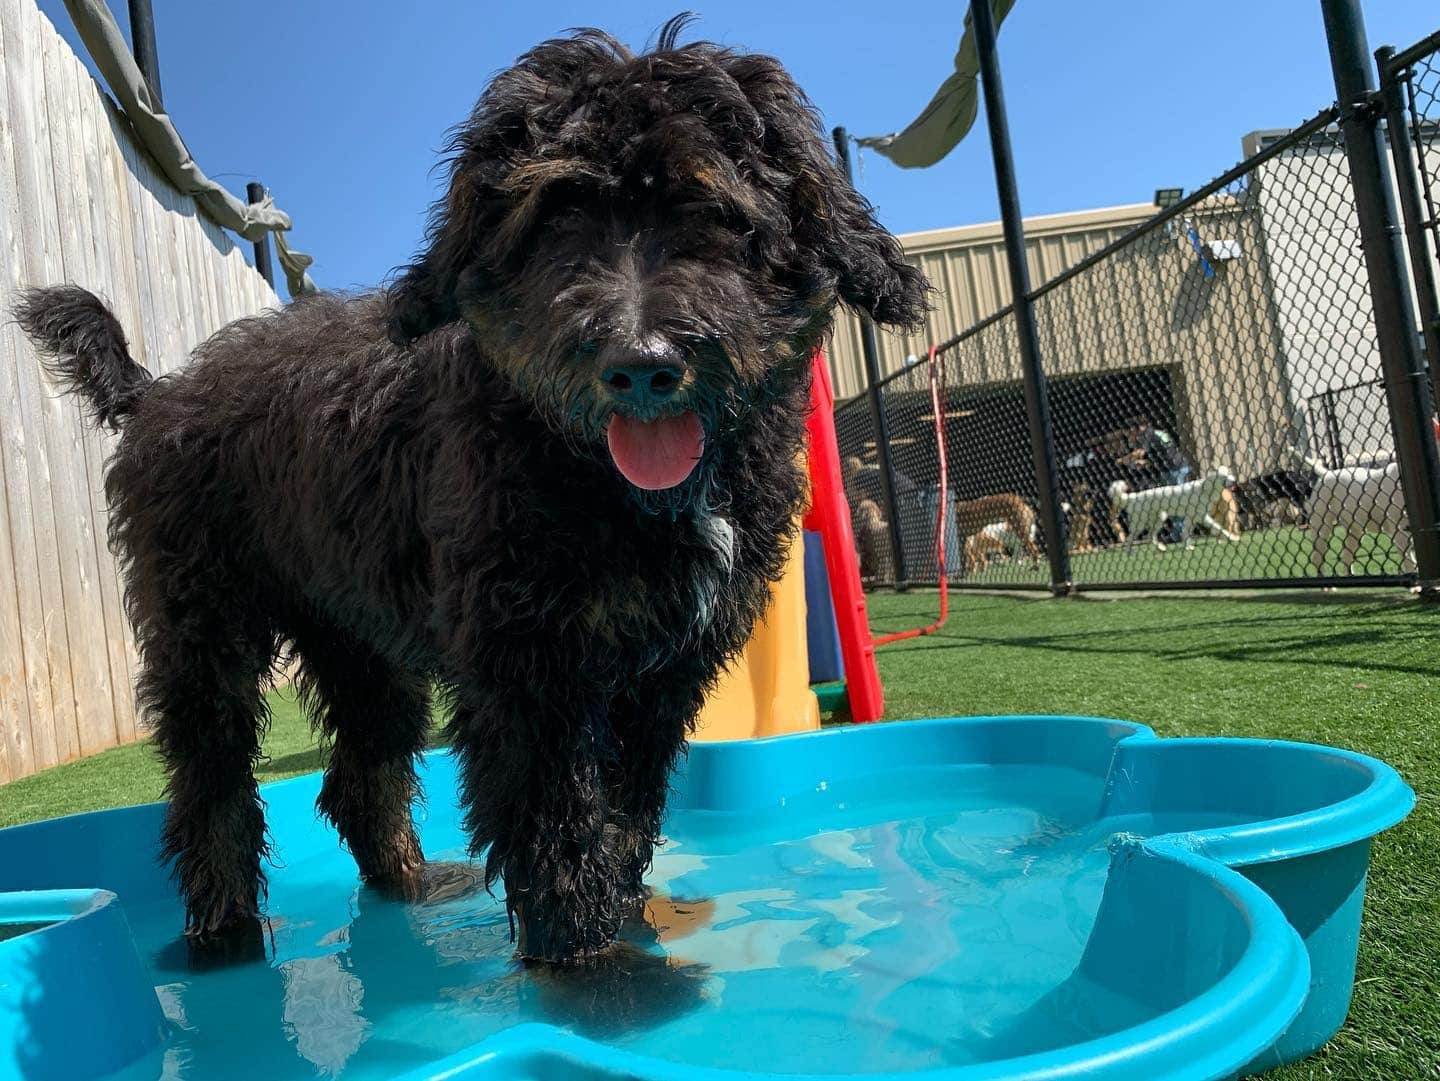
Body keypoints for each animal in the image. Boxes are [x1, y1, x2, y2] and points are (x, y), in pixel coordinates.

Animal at [14, 16, 921, 961]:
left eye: (713, 208)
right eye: (554, 215)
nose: (638, 365)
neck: (607, 485)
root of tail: (158, 391)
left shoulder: (663, 669)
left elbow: (626, 812)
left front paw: (625, 917)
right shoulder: (522, 660)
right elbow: (556, 825)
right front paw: (589, 961)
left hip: (357, 639)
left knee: (359, 778)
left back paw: (410, 884)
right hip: (205, 626)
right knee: (211, 782)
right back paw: (226, 932)